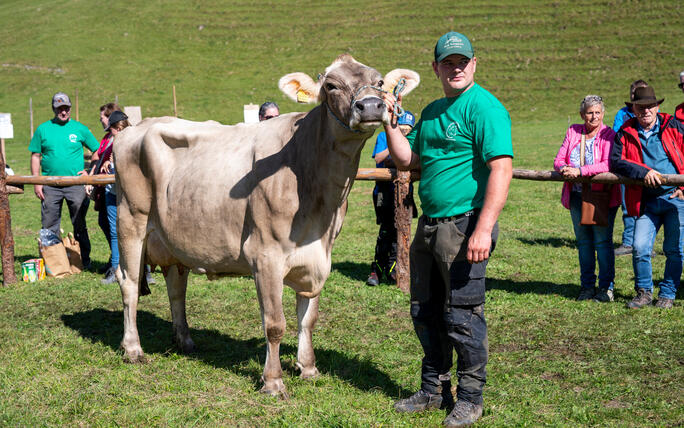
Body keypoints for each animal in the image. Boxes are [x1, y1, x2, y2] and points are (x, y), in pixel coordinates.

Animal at [113, 55, 416, 400]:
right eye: (330, 85)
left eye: (378, 82)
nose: (371, 106)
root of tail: (135, 128)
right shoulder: (265, 255)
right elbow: (275, 324)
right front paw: (273, 382)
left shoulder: (318, 256)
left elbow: (308, 318)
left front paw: (308, 368)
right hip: (131, 219)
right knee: (129, 283)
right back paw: (133, 349)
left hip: (172, 235)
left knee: (177, 284)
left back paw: (185, 340)